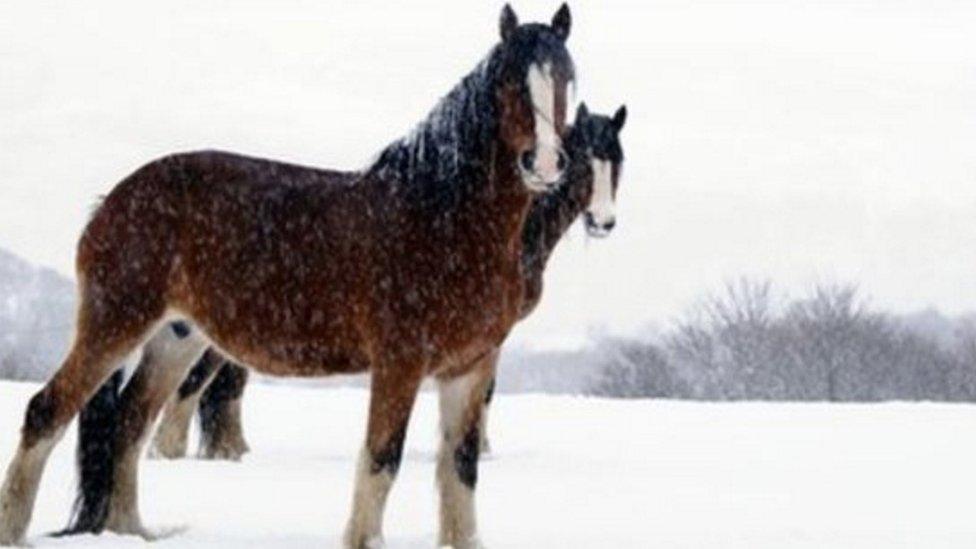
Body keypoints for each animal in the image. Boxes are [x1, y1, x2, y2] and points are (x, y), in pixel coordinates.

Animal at [0, 3, 576, 544]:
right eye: (509, 80)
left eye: (568, 78)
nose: (544, 163)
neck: (443, 219)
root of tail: (111, 202)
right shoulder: (400, 363)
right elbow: (382, 459)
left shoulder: (470, 368)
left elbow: (461, 468)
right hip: (115, 324)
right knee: (46, 412)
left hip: (175, 338)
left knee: (128, 425)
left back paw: (132, 533)